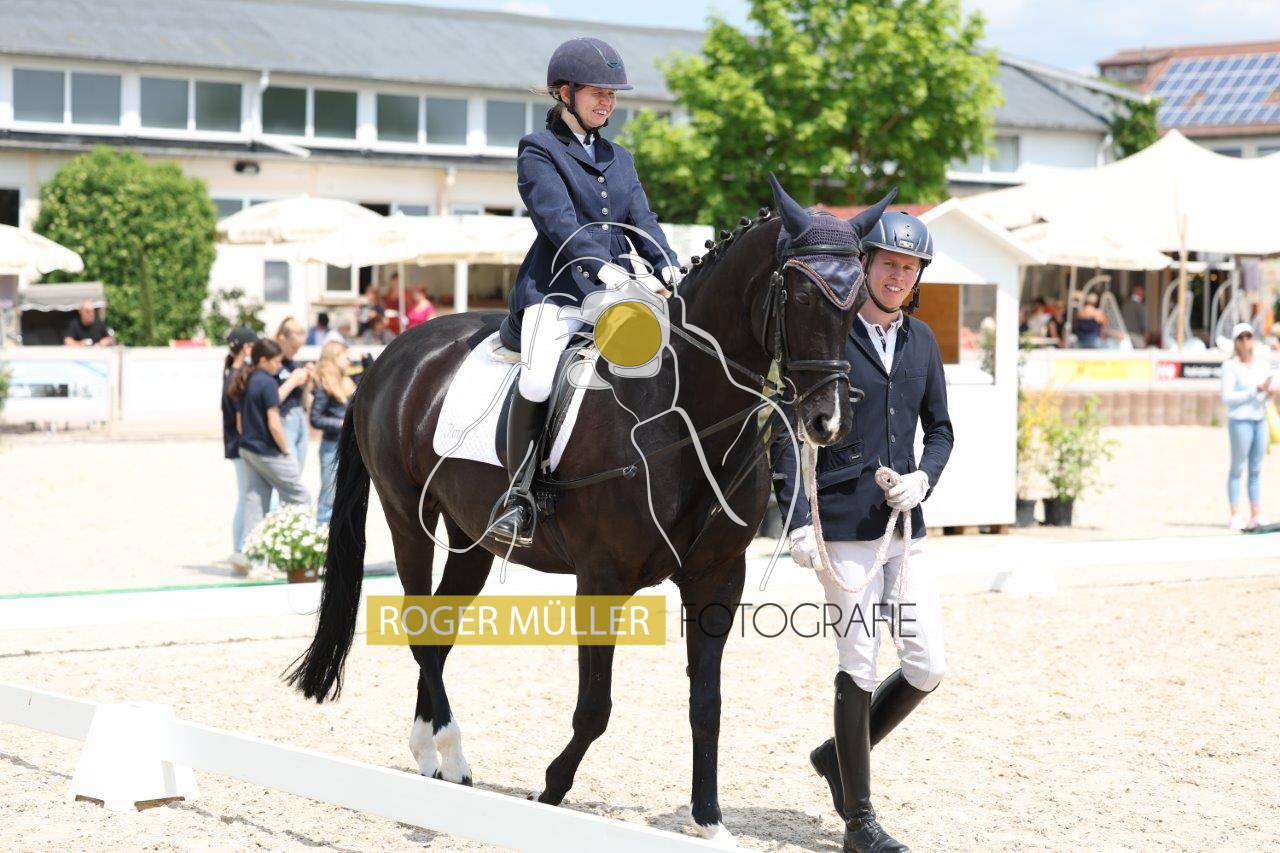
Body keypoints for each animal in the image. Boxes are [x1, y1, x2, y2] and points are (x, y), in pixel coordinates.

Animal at [287, 175, 893, 841]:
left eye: (859, 298)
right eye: (803, 296)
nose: (829, 421)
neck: (681, 412)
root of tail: (391, 356)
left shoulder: (716, 579)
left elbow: (706, 706)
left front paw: (709, 821)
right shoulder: (602, 578)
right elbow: (595, 706)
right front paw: (550, 791)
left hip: (473, 538)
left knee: (440, 634)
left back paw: (431, 757)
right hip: (406, 518)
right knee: (421, 628)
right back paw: (451, 752)